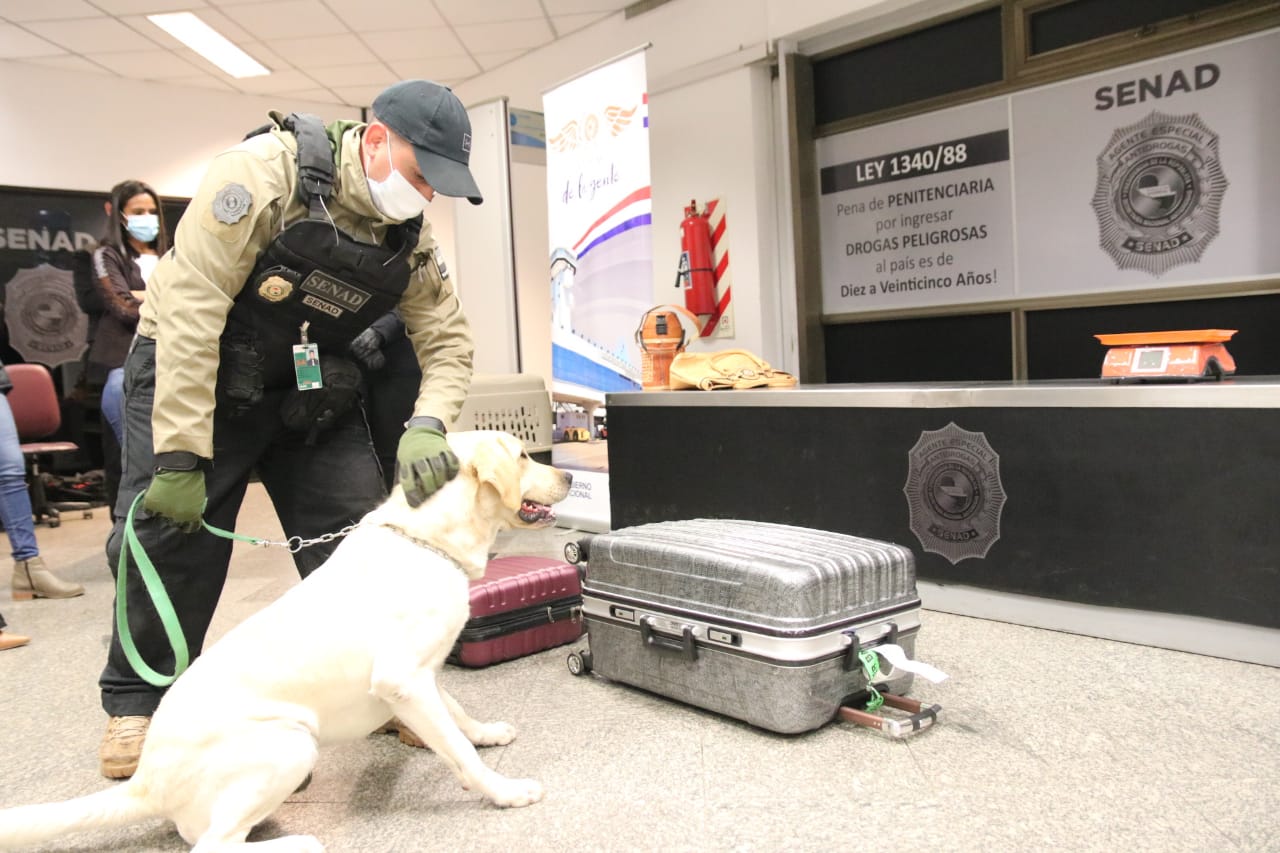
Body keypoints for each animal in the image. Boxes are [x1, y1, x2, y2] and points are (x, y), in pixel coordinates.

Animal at [0, 432, 570, 850]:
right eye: (523, 456)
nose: (567, 473)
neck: (427, 541)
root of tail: (147, 780)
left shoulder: (422, 675)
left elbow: (456, 715)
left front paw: (486, 732)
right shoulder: (403, 679)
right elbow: (458, 752)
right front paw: (505, 791)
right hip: (290, 743)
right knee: (212, 844)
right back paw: (299, 843)